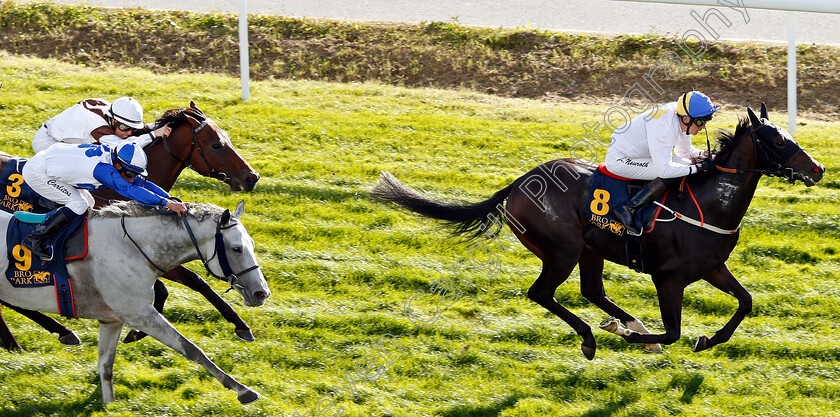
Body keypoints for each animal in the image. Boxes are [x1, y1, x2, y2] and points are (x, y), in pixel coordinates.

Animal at [0, 102, 260, 350]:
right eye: (216, 144)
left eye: (227, 138)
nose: (252, 177)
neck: (111, 193)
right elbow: (185, 282)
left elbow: (189, 283)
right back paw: (33, 337)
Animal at [0, 200, 270, 402]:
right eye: (236, 249)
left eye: (252, 244)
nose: (261, 293)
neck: (130, 245)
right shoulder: (139, 313)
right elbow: (191, 348)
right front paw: (243, 390)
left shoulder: (112, 320)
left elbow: (106, 366)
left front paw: (109, 405)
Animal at [374, 105, 828, 360]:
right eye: (777, 141)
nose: (819, 168)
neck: (709, 202)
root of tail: (519, 183)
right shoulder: (668, 278)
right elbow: (675, 331)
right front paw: (640, 338)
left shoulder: (713, 267)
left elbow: (746, 302)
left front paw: (708, 339)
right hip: (562, 249)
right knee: (543, 293)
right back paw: (597, 337)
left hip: (589, 249)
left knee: (592, 290)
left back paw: (628, 326)